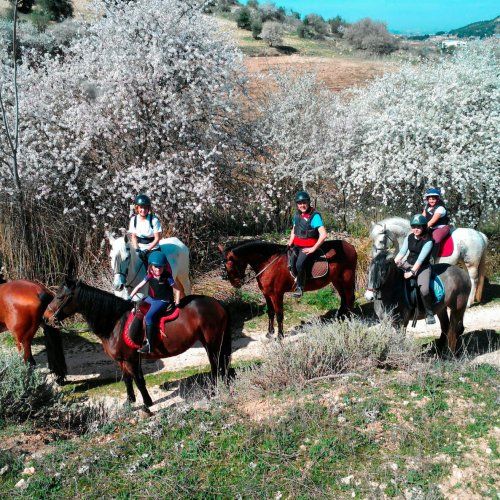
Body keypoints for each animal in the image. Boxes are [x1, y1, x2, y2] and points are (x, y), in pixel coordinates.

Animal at [44, 278, 231, 406]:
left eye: (60, 297)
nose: (46, 318)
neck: (115, 322)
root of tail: (216, 303)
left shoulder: (131, 359)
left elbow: (139, 380)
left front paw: (147, 402)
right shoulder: (121, 360)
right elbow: (127, 379)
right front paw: (130, 401)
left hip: (212, 342)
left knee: (215, 364)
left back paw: (215, 389)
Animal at [219, 239, 356, 340]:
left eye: (230, 265)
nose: (236, 284)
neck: (269, 262)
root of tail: (350, 246)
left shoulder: (277, 294)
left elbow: (279, 314)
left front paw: (280, 335)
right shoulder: (266, 294)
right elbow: (270, 312)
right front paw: (270, 332)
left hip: (347, 278)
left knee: (350, 298)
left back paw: (349, 320)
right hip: (337, 280)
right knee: (343, 297)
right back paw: (341, 317)